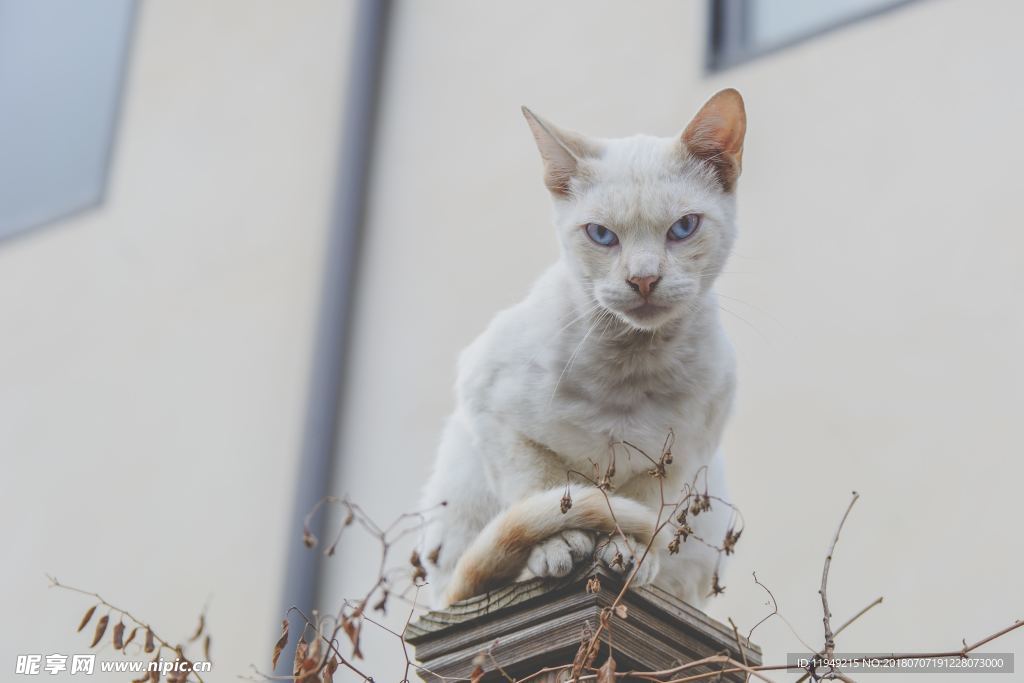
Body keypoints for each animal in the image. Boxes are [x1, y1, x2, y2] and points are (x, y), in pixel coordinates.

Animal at [419, 88, 749, 606]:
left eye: (683, 228)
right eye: (601, 235)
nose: (643, 279)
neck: (629, 369)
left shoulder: (682, 457)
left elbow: (640, 509)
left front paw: (629, 552)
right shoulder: (494, 414)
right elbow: (544, 489)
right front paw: (557, 545)